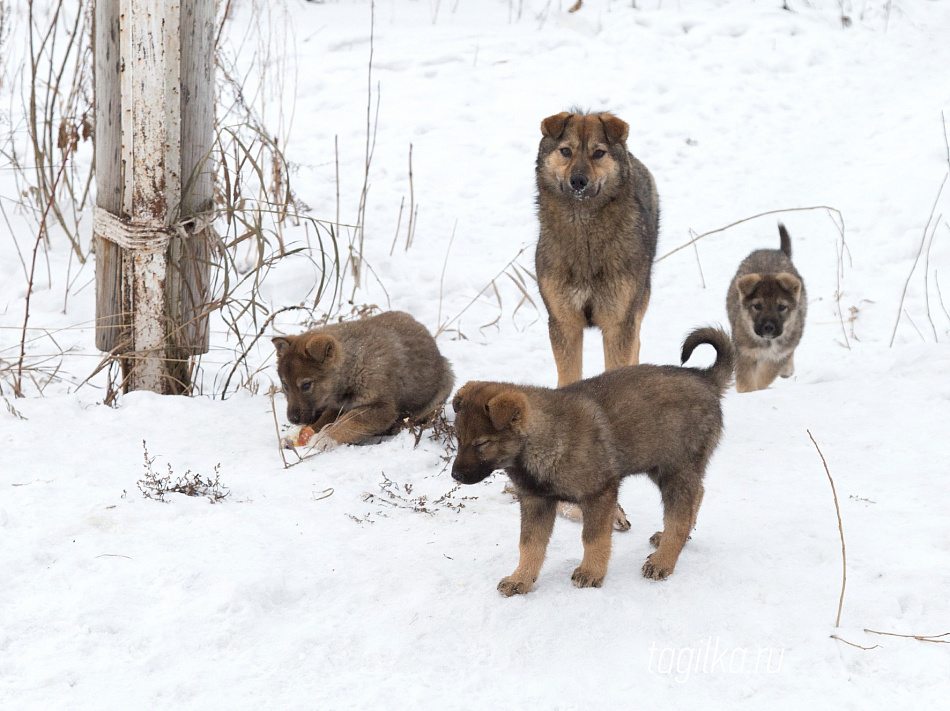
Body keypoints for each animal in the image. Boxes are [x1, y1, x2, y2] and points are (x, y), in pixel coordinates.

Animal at [274, 312, 456, 456]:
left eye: (306, 385)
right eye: (285, 386)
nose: (293, 419)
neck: (353, 363)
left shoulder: (382, 408)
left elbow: (349, 421)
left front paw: (324, 438)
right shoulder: (338, 406)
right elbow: (324, 421)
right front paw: (294, 436)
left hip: (445, 381)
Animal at [450, 328, 732, 596]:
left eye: (481, 444)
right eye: (458, 438)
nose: (455, 476)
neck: (543, 440)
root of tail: (704, 378)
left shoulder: (599, 494)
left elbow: (593, 539)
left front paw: (591, 572)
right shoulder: (535, 501)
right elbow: (529, 545)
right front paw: (520, 579)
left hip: (675, 468)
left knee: (679, 518)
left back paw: (663, 561)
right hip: (659, 463)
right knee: (698, 493)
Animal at [536, 110, 660, 386]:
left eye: (598, 153)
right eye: (566, 151)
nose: (578, 181)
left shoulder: (619, 322)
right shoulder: (563, 322)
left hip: (638, 301)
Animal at [728, 225, 812, 394]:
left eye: (781, 307)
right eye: (757, 306)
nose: (768, 327)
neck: (767, 343)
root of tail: (777, 251)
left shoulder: (778, 356)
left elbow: (764, 376)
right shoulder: (745, 353)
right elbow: (746, 379)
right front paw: (747, 391)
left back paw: (787, 369)